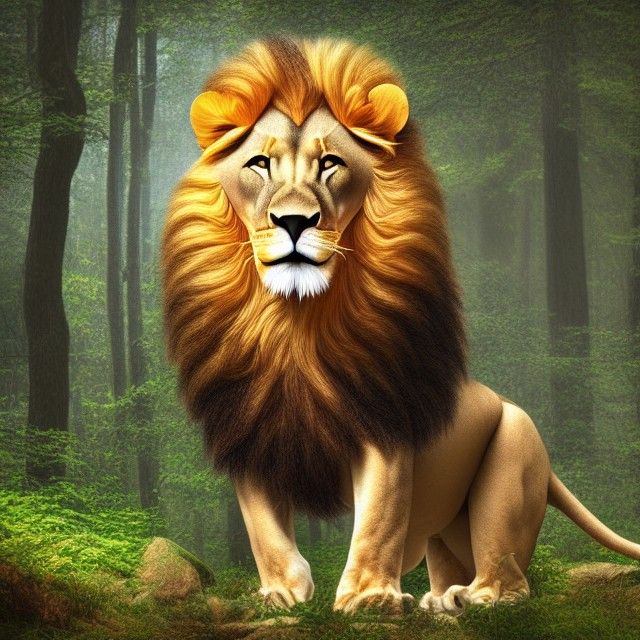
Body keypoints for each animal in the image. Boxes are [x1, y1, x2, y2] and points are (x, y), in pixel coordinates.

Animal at [162, 37, 640, 615]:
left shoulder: (384, 418)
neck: (293, 324)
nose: (295, 221)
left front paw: (368, 598)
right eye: (259, 164)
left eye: (330, 164)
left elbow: (379, 517)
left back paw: (471, 598)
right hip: (448, 530)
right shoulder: (247, 426)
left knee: (510, 577)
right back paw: (436, 599)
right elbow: (263, 528)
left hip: (512, 459)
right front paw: (283, 594)